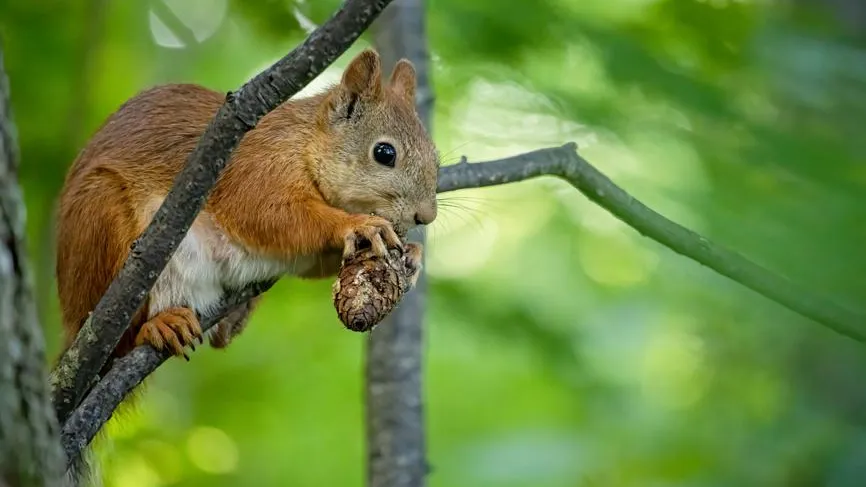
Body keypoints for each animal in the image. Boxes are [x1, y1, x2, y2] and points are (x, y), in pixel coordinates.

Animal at [55, 49, 439, 365]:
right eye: (384, 153)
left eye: (435, 156)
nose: (426, 216)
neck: (304, 143)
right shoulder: (252, 168)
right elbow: (270, 215)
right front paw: (357, 224)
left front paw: (413, 253)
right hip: (103, 219)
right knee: (122, 342)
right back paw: (158, 326)